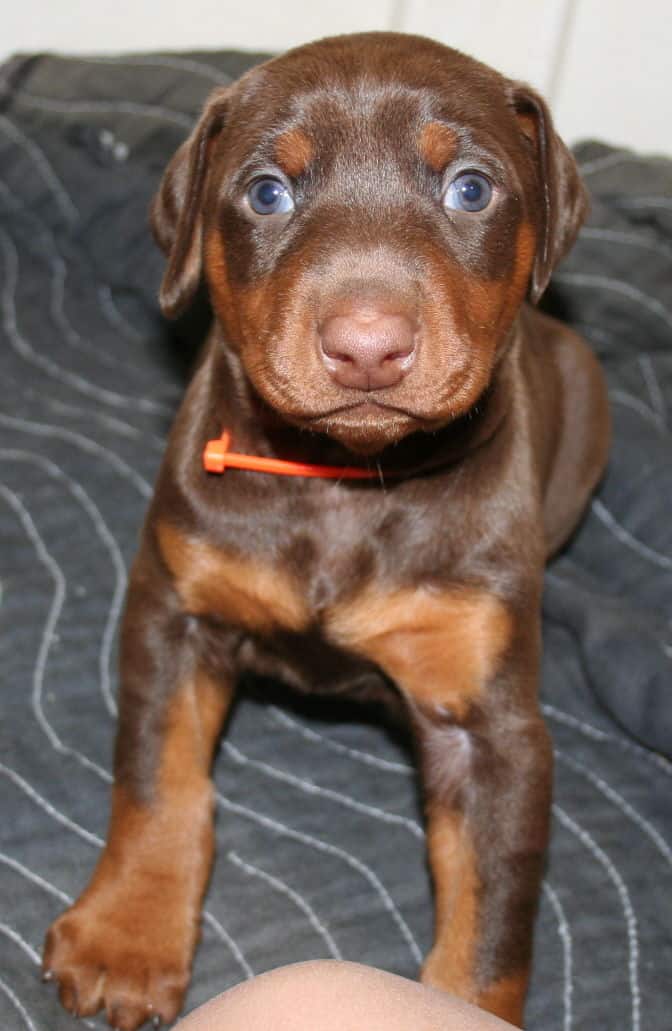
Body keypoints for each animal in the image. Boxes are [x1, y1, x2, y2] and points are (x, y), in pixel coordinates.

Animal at [40, 32, 610, 1031]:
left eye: (471, 187)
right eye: (268, 192)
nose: (367, 346)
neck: (345, 481)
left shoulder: (494, 728)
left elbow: (494, 908)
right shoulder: (173, 610)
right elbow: (158, 781)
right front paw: (126, 936)